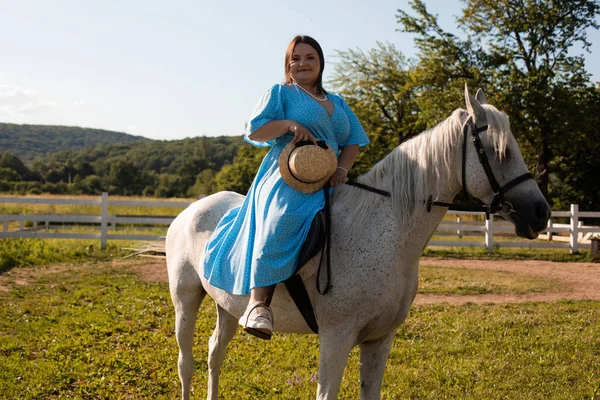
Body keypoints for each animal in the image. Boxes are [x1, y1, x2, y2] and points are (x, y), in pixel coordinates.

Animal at [166, 87, 552, 400]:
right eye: (498, 150)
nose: (541, 213)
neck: (386, 232)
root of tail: (193, 209)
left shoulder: (379, 339)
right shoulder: (336, 338)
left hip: (226, 306)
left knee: (215, 354)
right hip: (186, 299)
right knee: (186, 362)